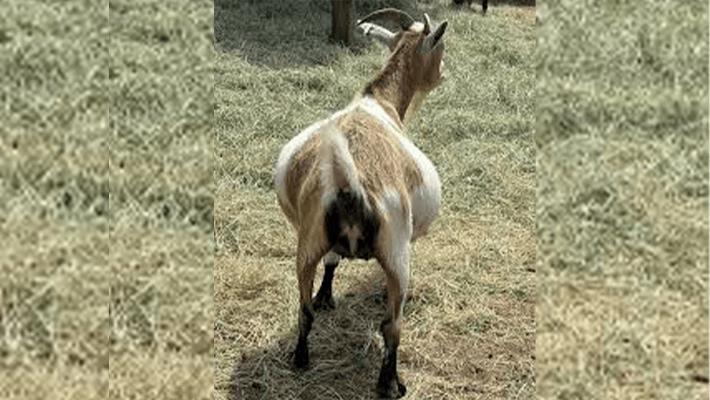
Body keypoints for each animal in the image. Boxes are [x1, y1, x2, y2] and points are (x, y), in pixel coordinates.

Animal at [273, 8, 446, 398]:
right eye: (441, 50)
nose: (445, 73)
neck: (379, 101)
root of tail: (349, 183)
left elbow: (332, 262)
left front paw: (326, 296)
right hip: (396, 250)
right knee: (392, 325)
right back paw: (391, 384)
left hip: (307, 241)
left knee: (304, 309)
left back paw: (301, 357)